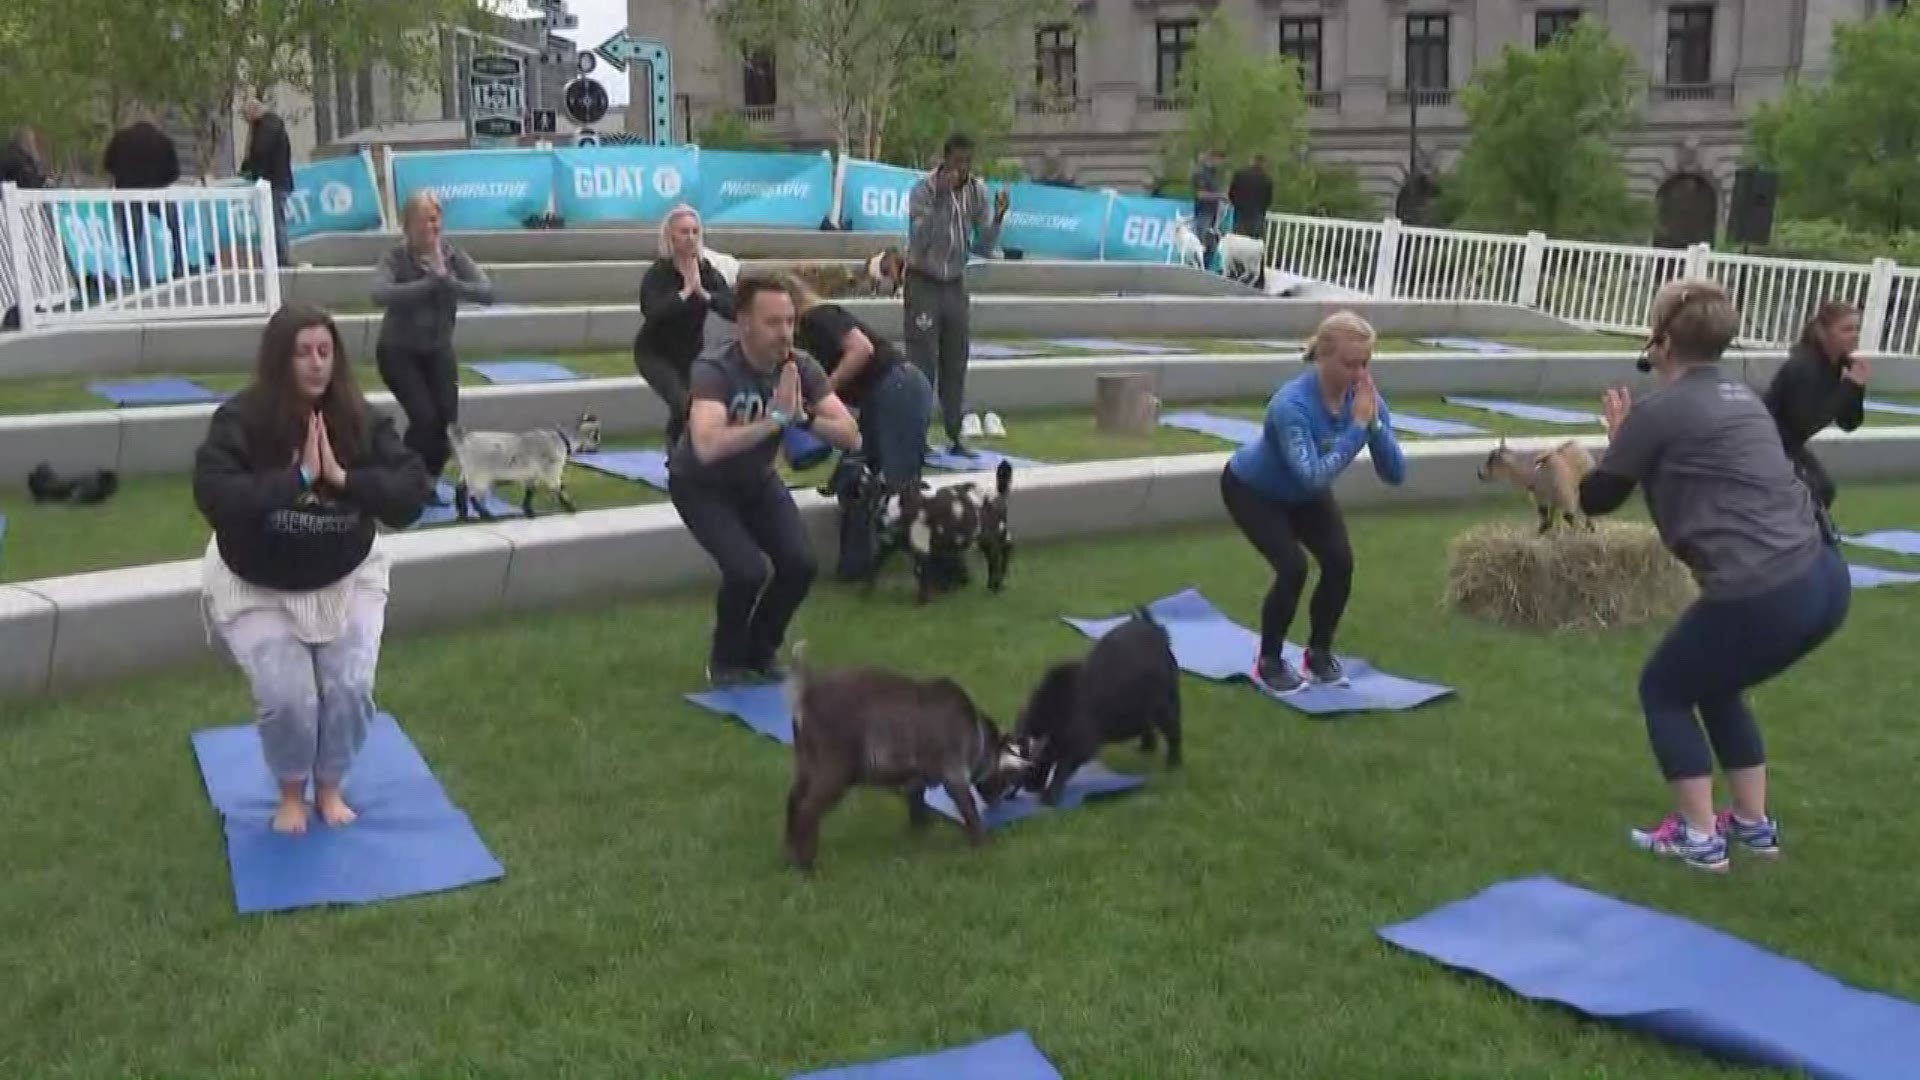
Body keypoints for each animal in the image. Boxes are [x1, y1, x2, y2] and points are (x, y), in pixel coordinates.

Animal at [449, 407, 599, 518]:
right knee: (473, 495)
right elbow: (559, 488)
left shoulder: (531, 475)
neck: (562, 439)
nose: (597, 449)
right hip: (481, 475)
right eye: (596, 435)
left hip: (468, 471)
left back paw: (463, 514)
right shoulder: (551, 471)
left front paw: (529, 511)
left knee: (460, 488)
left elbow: (530, 492)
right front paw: (571, 508)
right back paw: (486, 515)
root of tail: (463, 440)